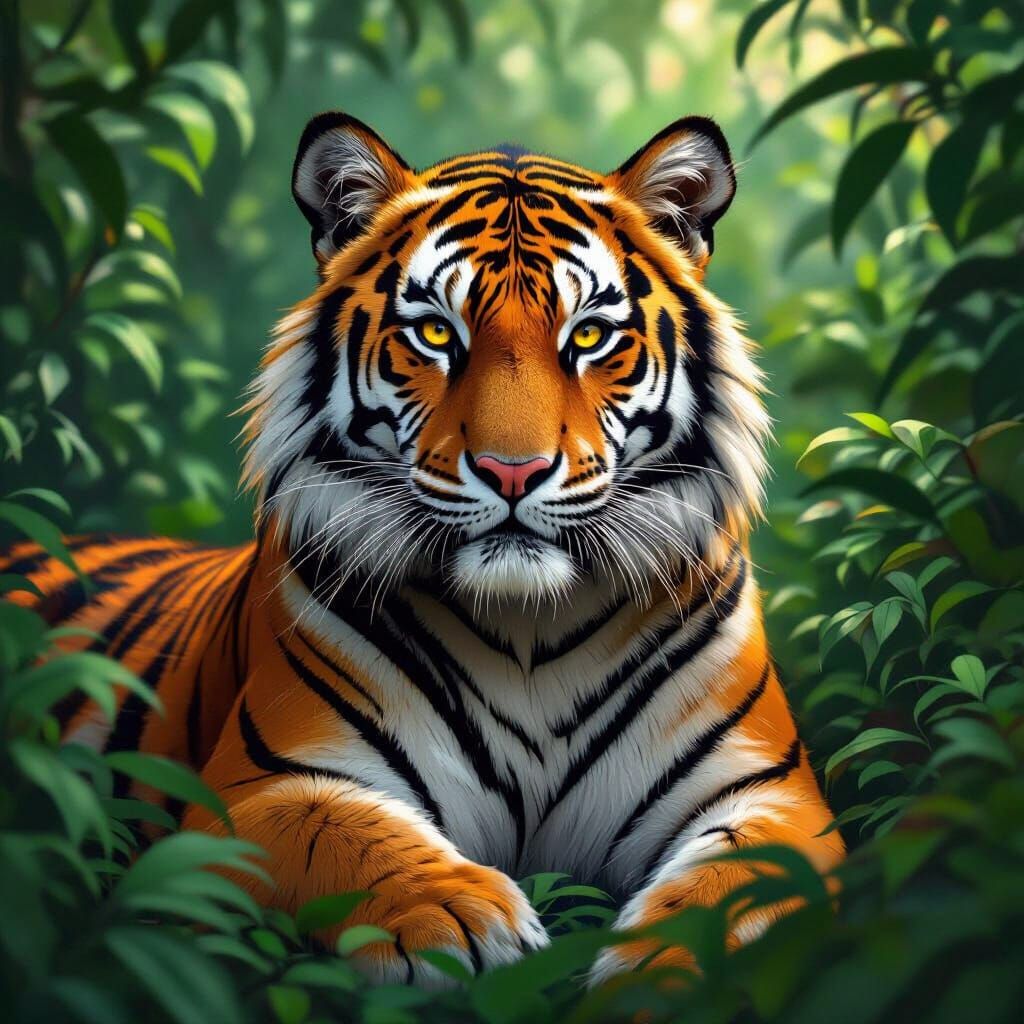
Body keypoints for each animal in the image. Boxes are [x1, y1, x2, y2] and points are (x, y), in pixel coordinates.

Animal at [3, 111, 843, 985]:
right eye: (438, 332)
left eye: (588, 335)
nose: (514, 471)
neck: (529, 629)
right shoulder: (259, 790)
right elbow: (351, 840)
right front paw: (464, 919)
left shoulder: (772, 794)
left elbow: (739, 885)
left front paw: (665, 971)